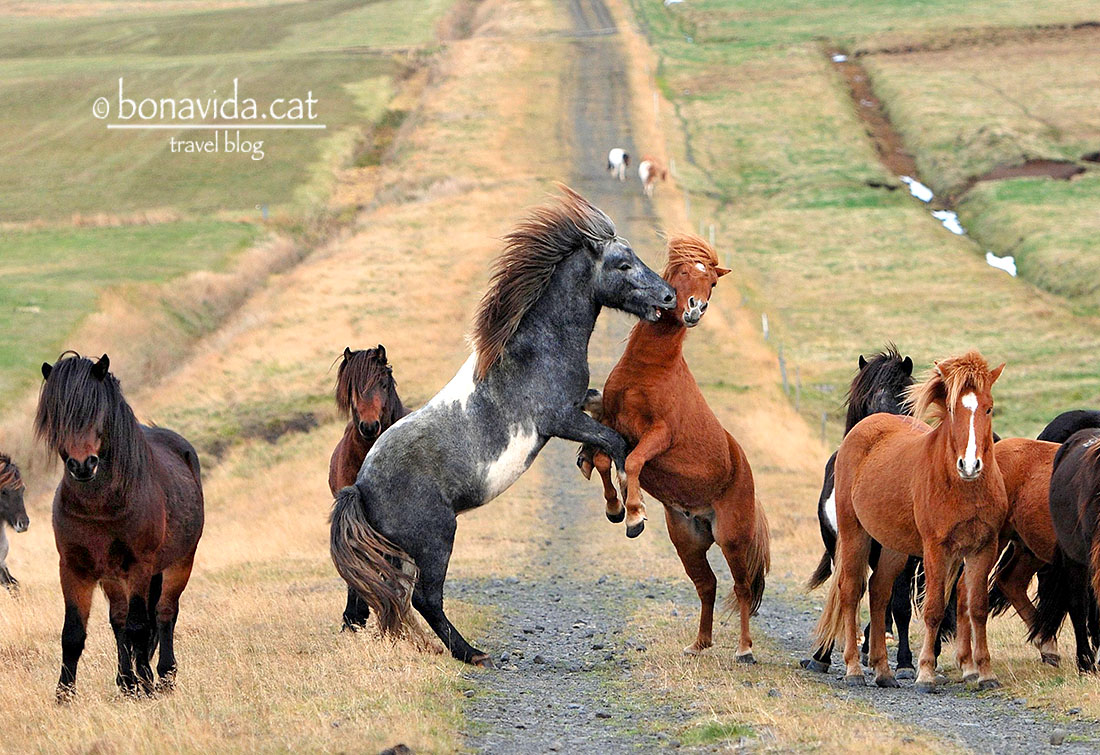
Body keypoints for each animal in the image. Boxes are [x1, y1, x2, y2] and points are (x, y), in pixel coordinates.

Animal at [36, 353, 205, 701]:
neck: (98, 507)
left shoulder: (139, 567)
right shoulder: (73, 569)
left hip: (180, 562)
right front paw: (64, 695)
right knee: (119, 621)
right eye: (58, 415)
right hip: (112, 577)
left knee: (165, 613)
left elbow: (140, 628)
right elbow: (73, 634)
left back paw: (164, 676)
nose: (82, 465)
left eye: (97, 410)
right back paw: (126, 681)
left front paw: (147, 685)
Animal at [577, 234, 771, 662]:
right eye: (682, 272)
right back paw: (699, 643)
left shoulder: (660, 435)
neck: (650, 370)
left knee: (742, 587)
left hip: (733, 538)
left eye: (712, 283)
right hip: (688, 540)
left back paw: (744, 650)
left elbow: (632, 461)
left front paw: (634, 515)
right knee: (707, 585)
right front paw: (615, 507)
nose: (695, 309)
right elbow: (602, 457)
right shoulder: (613, 422)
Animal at [815, 351, 1007, 691]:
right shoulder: (935, 549)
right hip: (854, 535)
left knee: (879, 592)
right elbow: (932, 609)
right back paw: (853, 668)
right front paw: (925, 672)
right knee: (851, 591)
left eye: (988, 408)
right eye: (952, 409)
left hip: (893, 548)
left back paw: (883, 670)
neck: (963, 486)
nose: (970, 465)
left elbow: (976, 608)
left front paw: (985, 673)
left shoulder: (982, 548)